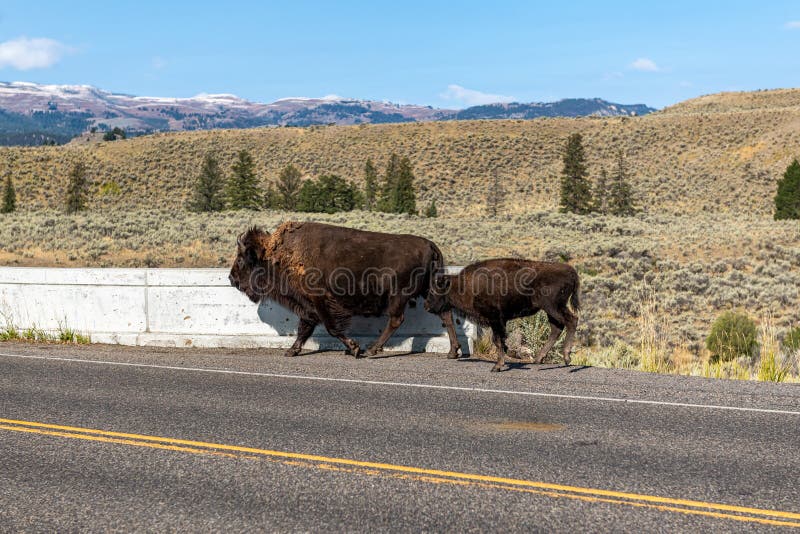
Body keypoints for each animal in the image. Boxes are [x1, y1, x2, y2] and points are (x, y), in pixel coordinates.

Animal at [228, 222, 460, 360]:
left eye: (241, 259)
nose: (231, 278)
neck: (278, 255)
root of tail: (430, 245)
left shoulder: (320, 301)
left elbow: (331, 327)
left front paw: (355, 348)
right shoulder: (308, 306)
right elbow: (304, 328)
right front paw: (292, 350)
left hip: (399, 296)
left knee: (396, 320)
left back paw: (373, 350)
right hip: (428, 291)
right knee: (446, 314)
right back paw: (453, 352)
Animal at [422, 258, 580, 372]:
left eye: (434, 290)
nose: (426, 306)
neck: (462, 285)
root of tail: (571, 271)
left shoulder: (495, 320)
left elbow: (497, 340)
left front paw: (497, 366)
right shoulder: (500, 321)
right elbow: (500, 341)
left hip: (553, 307)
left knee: (571, 321)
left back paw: (566, 357)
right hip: (550, 310)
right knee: (557, 328)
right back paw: (538, 359)